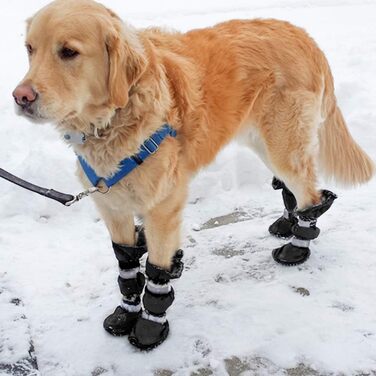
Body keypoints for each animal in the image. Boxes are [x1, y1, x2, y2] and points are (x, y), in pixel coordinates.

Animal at [12, 0, 374, 350]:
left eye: (68, 52)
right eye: (30, 48)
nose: (20, 97)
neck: (118, 118)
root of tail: (303, 35)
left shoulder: (163, 209)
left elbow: (157, 274)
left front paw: (149, 329)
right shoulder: (112, 207)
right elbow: (127, 269)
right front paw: (125, 313)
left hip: (282, 144)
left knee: (310, 192)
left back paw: (297, 246)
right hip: (263, 142)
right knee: (292, 188)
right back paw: (287, 223)